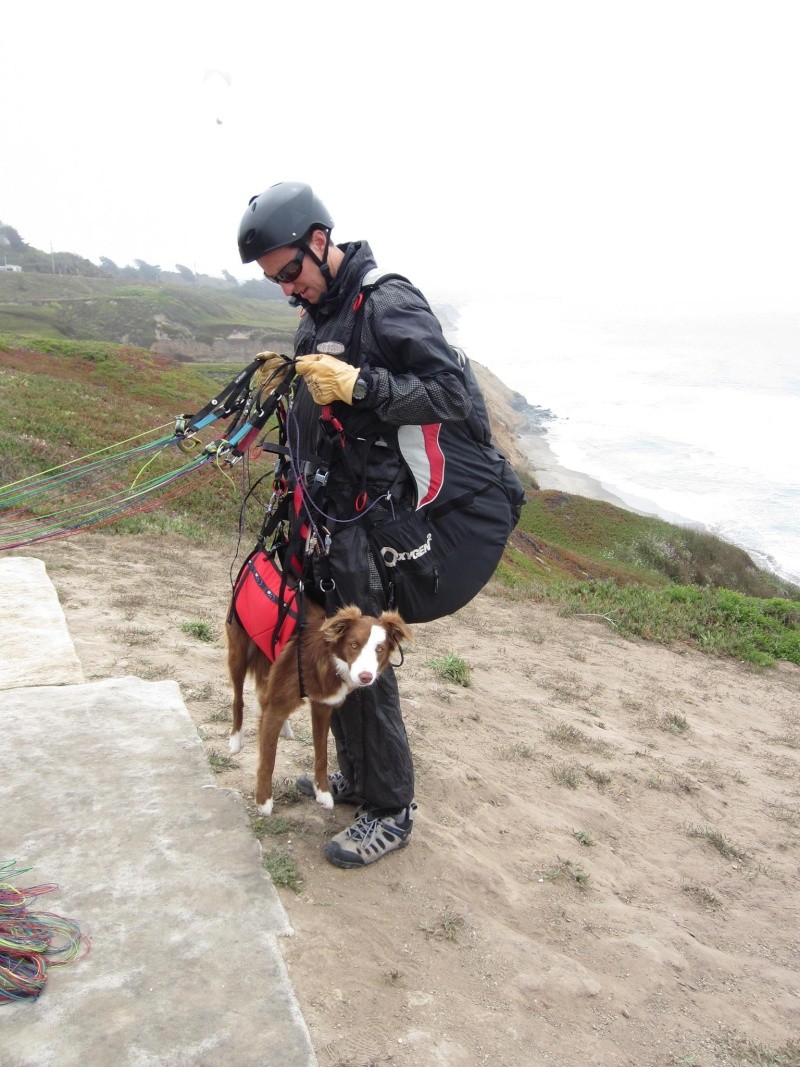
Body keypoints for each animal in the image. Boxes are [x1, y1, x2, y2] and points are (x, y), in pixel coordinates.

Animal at [226, 601, 413, 815]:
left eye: (379, 649)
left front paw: (322, 792)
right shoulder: (276, 706)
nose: (366, 677)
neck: (330, 659)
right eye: (353, 645)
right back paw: (235, 739)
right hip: (239, 653)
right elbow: (268, 758)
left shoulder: (322, 707)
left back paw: (284, 728)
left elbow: (321, 754)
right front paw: (264, 801)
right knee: (238, 698)